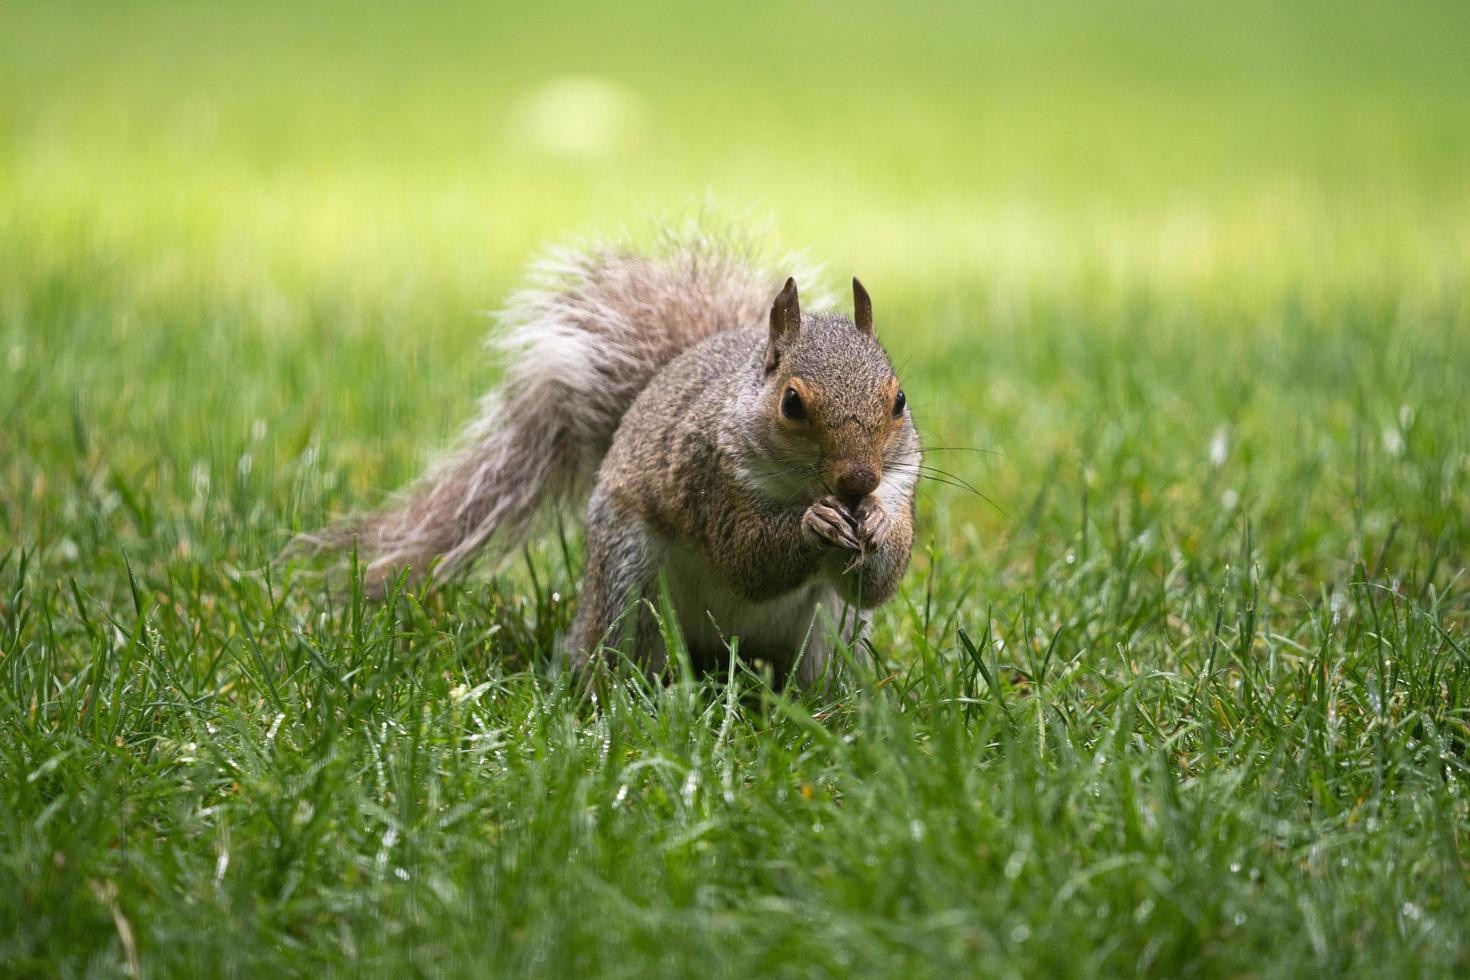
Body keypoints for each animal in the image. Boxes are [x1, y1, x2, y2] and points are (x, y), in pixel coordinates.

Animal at [305, 233, 917, 687]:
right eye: (791, 403)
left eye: (899, 399)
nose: (858, 481)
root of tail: (727, 649)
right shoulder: (708, 476)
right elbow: (745, 558)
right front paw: (816, 523)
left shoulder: (901, 483)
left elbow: (877, 582)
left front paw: (878, 523)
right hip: (628, 583)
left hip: (830, 633)